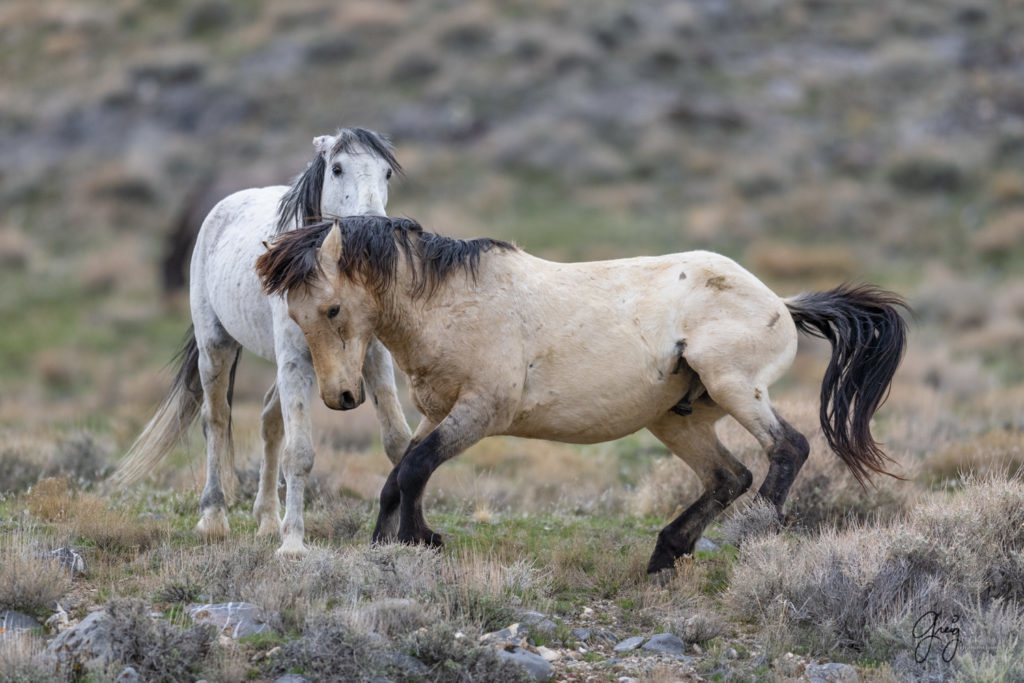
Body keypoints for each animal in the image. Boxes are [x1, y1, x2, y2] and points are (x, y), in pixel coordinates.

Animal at [112, 127, 411, 557]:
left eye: (386, 172)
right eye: (338, 168)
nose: (374, 229)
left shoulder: (373, 356)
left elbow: (397, 441)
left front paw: (400, 537)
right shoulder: (295, 360)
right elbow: (300, 453)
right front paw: (294, 546)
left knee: (270, 420)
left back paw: (268, 519)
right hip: (216, 348)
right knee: (216, 420)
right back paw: (214, 518)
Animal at [253, 218, 905, 577]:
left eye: (331, 309)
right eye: (294, 315)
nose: (341, 396)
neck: (450, 303)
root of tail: (781, 303)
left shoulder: (479, 413)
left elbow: (414, 468)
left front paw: (420, 540)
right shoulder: (439, 414)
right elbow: (399, 475)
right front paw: (391, 544)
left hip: (736, 388)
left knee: (788, 449)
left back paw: (756, 531)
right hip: (676, 420)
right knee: (728, 476)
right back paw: (665, 555)